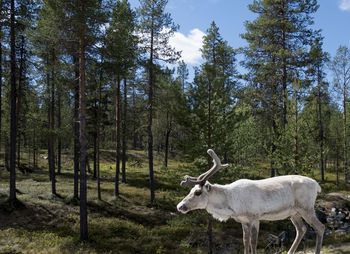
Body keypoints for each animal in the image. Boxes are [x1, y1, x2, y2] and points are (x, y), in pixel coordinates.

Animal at [178, 150, 326, 254]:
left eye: (198, 192)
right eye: (191, 190)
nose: (180, 206)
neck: (230, 204)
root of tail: (317, 185)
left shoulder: (255, 217)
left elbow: (253, 242)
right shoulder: (243, 221)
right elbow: (245, 241)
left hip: (306, 208)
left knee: (320, 227)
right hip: (293, 212)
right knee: (302, 229)